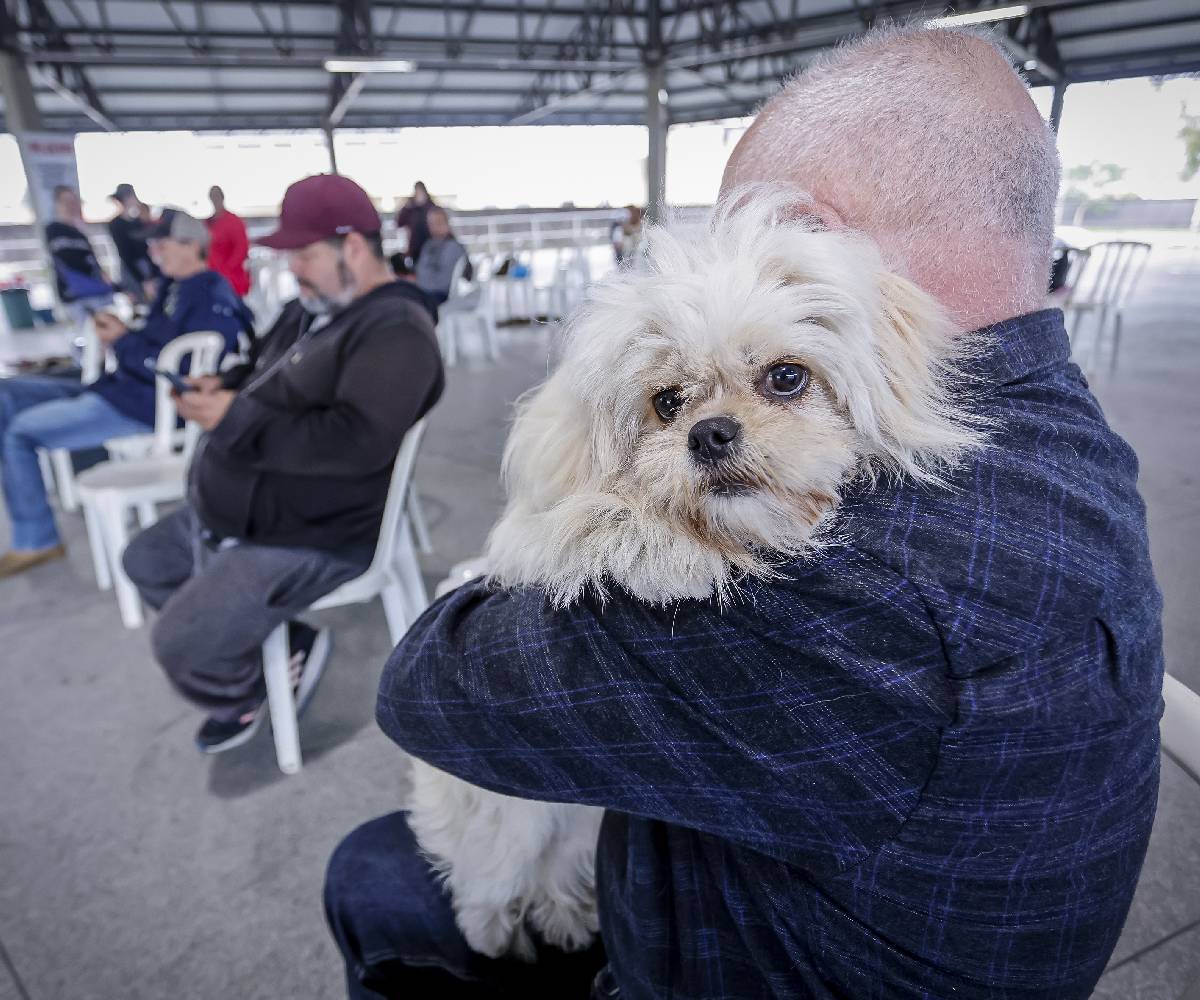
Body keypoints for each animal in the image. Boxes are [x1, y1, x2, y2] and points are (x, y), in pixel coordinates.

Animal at [403, 187, 984, 960]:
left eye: (786, 377)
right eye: (667, 402)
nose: (710, 433)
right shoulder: (522, 541)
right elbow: (574, 524)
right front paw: (654, 541)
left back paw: (560, 913)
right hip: (503, 825)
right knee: (485, 873)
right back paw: (492, 930)